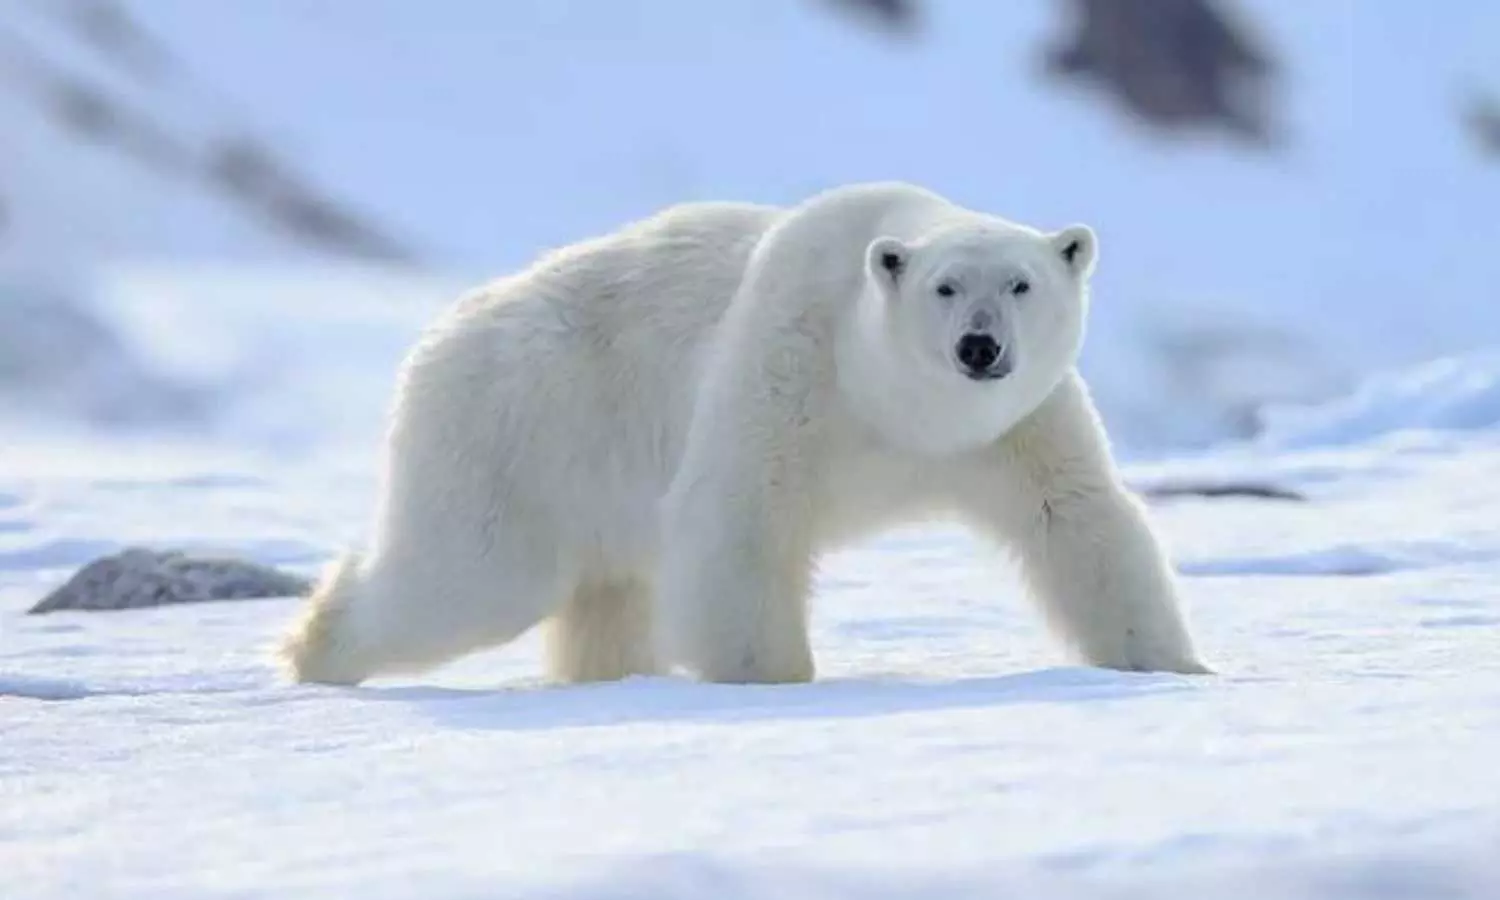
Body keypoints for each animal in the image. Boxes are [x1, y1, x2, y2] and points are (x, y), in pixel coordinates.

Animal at [277, 180, 1211, 687]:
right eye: (945, 287)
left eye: (1021, 283)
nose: (979, 348)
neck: (896, 405)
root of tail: (441, 333)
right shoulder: (789, 361)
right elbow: (741, 515)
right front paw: (769, 678)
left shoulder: (1017, 424)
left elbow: (1077, 518)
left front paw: (1174, 665)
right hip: (519, 431)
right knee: (470, 577)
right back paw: (314, 649)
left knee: (607, 596)